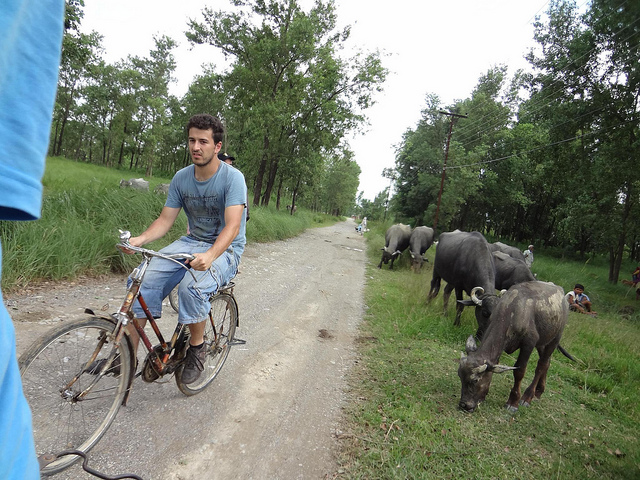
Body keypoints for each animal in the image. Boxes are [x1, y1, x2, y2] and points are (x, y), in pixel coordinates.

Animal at [458, 282, 568, 412]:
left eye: (475, 380)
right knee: (547, 363)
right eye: (460, 376)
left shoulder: (529, 343)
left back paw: (528, 397)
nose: (464, 405)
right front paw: (483, 396)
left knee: (541, 365)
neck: (513, 312)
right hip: (543, 342)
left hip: (555, 338)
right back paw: (539, 392)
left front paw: (513, 402)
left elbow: (519, 371)